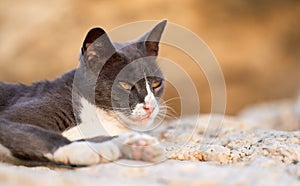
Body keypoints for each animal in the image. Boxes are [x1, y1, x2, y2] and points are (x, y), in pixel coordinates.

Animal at [0, 20, 166, 167]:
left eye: (156, 83)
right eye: (125, 85)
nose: (150, 106)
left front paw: (136, 145)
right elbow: (33, 132)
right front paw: (82, 149)